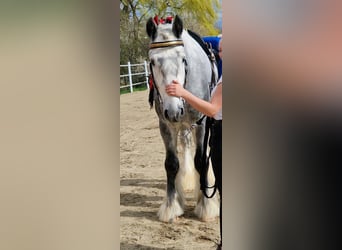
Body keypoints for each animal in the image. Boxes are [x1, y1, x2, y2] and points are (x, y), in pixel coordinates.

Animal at [146, 15, 218, 223]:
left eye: (183, 58)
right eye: (152, 61)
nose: (173, 110)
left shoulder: (202, 123)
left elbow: (201, 160)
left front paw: (206, 206)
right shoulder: (166, 125)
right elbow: (171, 164)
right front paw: (171, 207)